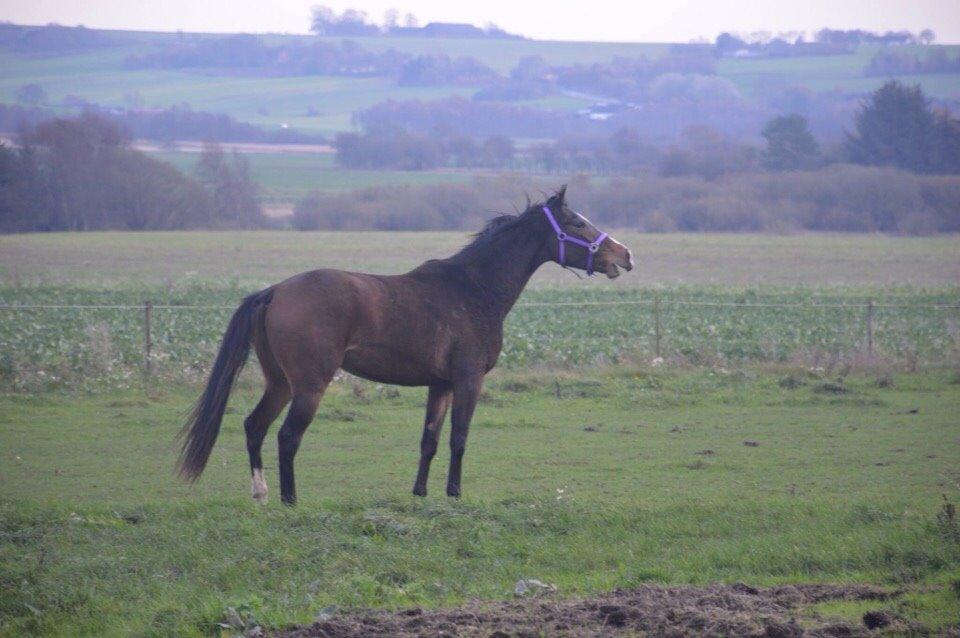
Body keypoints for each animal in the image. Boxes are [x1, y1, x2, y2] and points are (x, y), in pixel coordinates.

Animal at [177, 188, 632, 508]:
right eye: (577, 223)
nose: (625, 255)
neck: (474, 289)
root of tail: (274, 292)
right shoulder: (468, 381)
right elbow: (459, 438)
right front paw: (454, 494)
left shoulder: (440, 385)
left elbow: (429, 440)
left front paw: (420, 493)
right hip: (308, 386)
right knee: (287, 437)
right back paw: (290, 501)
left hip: (281, 383)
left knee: (254, 426)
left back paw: (261, 494)